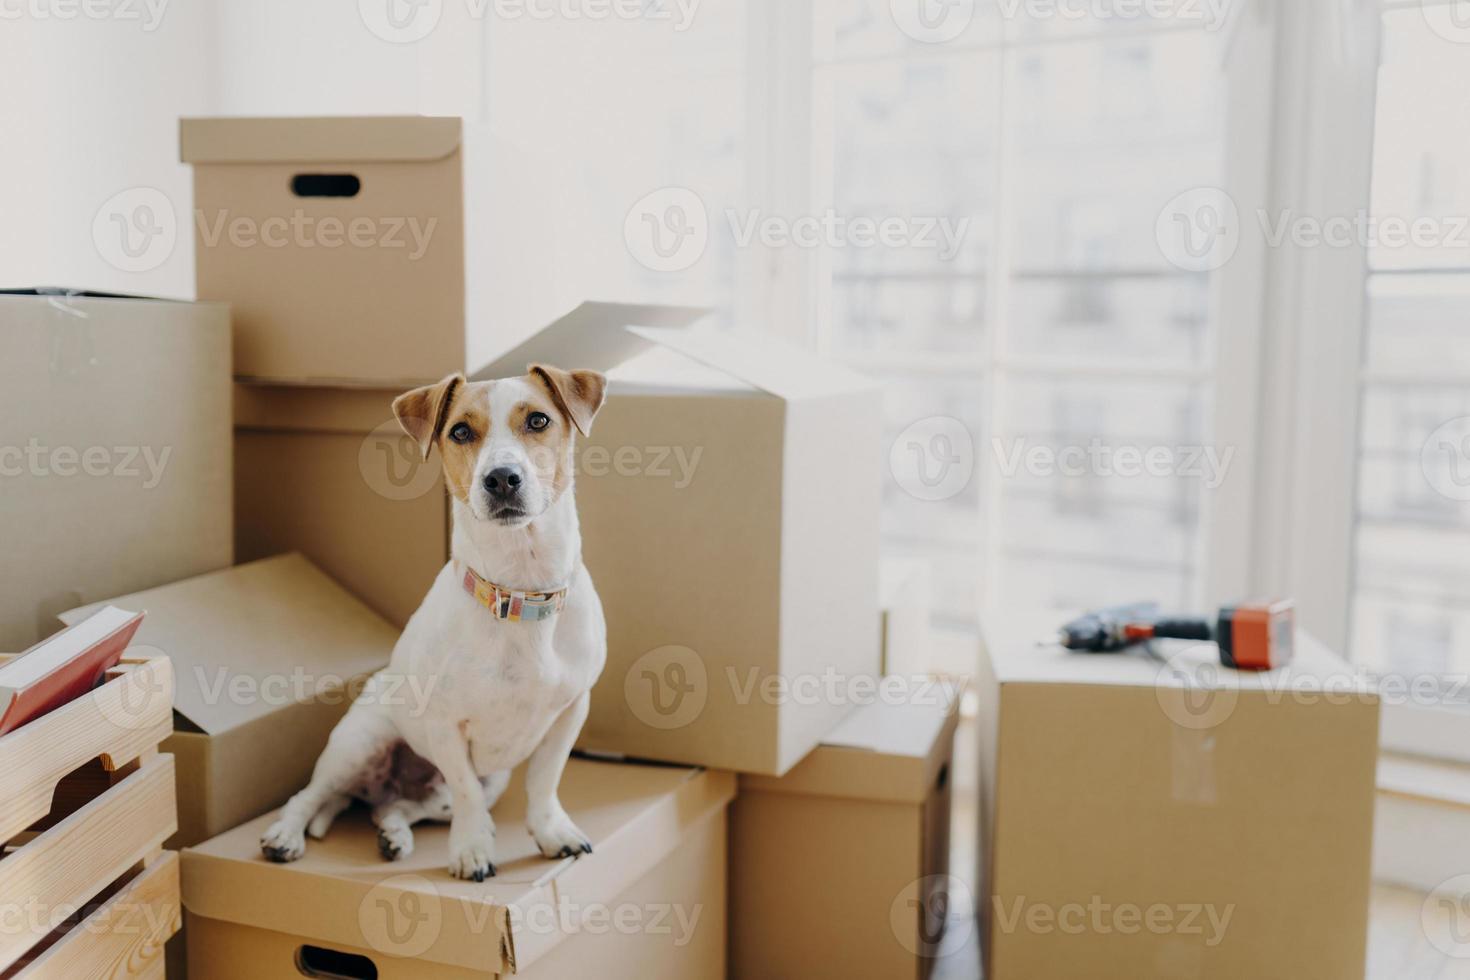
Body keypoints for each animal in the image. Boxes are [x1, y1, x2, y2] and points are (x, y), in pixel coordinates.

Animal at [260, 362, 608, 881]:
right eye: (460, 431)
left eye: (538, 420)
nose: (501, 478)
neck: (519, 594)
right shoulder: (446, 725)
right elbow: (466, 793)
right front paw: (472, 848)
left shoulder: (570, 711)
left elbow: (544, 781)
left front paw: (551, 832)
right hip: (359, 744)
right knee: (309, 796)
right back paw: (285, 835)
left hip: (479, 782)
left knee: (398, 807)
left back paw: (394, 834)